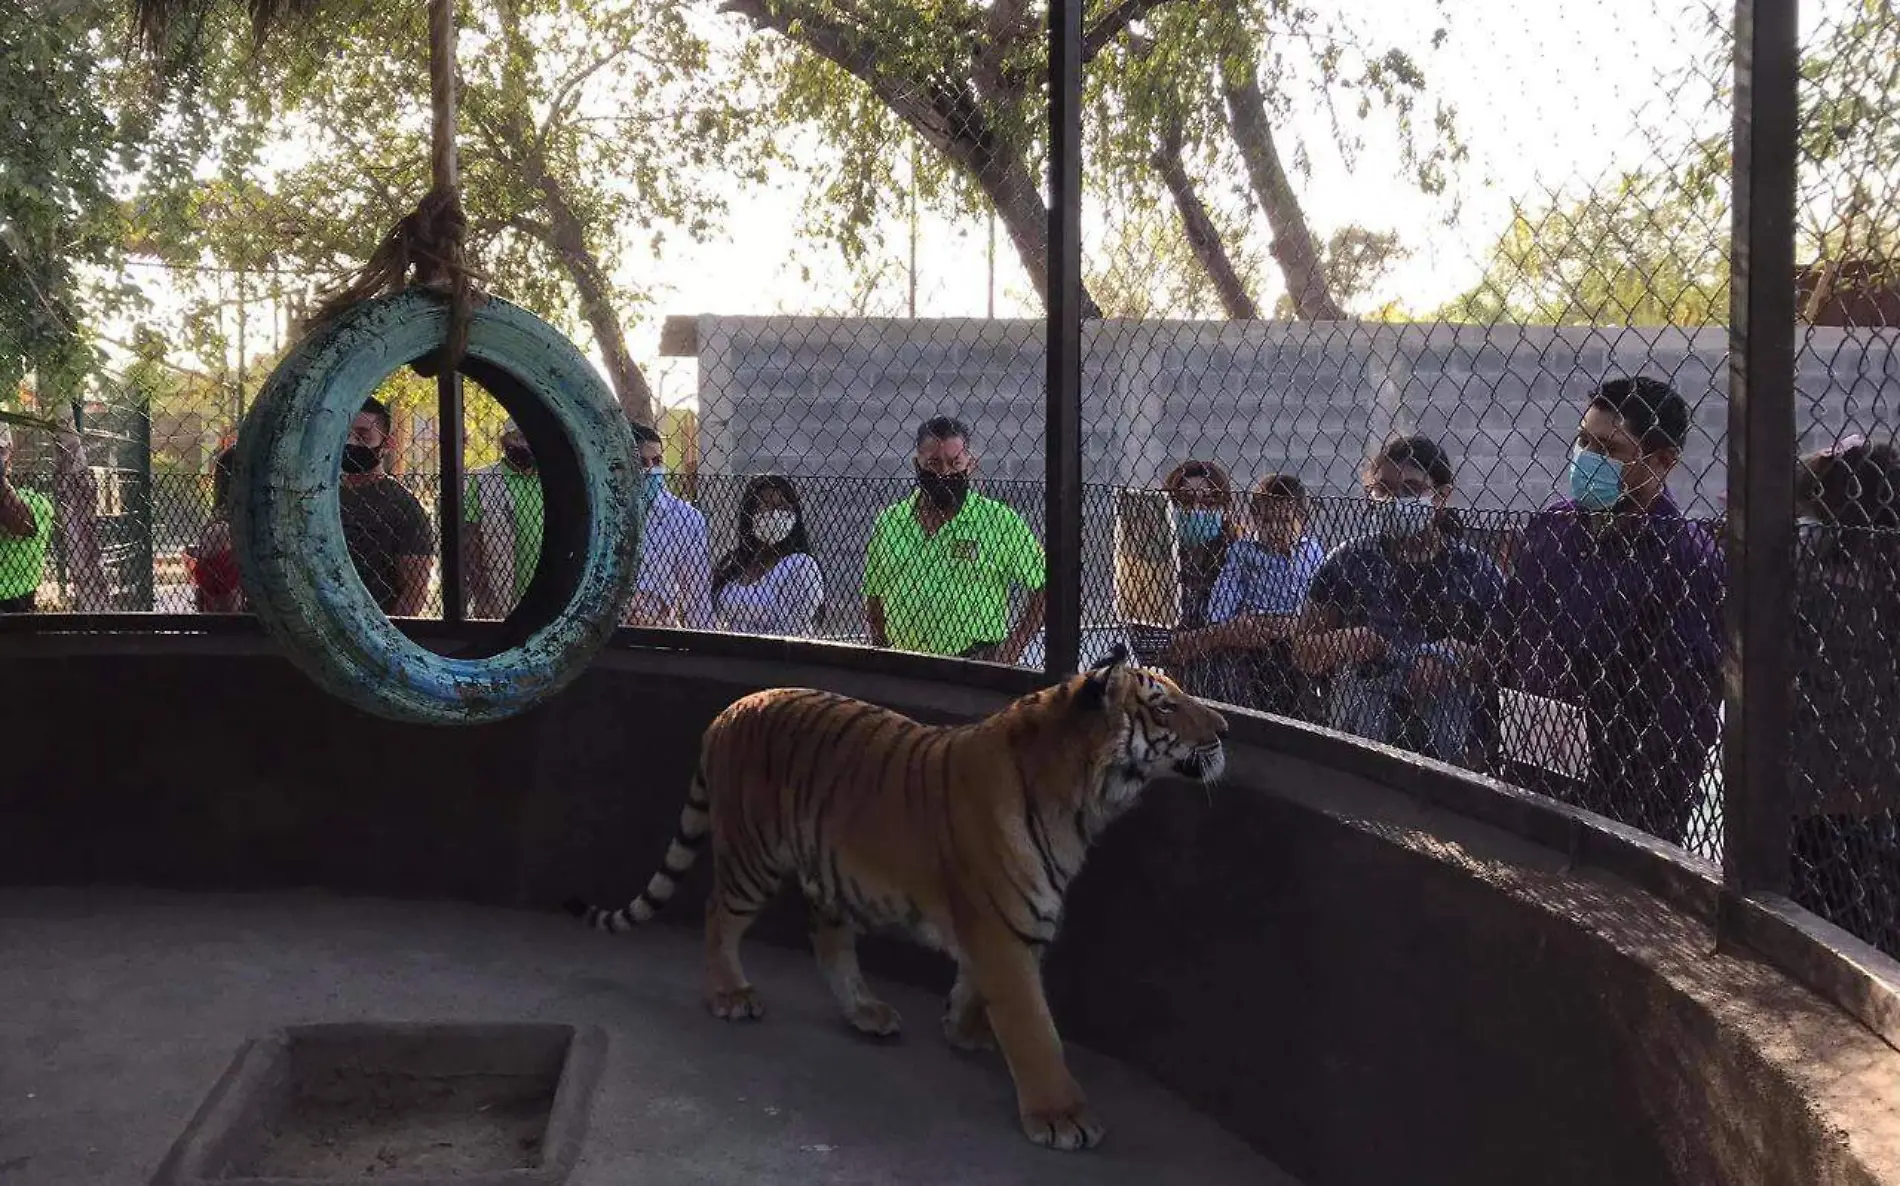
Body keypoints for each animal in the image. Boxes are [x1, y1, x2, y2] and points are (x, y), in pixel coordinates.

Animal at [558, 650, 1231, 1147]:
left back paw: (865, 1011)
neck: (1082, 802)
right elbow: (1035, 1027)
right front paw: (1061, 1116)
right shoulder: (1000, 929)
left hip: (827, 869)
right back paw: (730, 994)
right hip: (753, 856)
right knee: (717, 914)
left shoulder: (1008, 925)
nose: (1226, 729)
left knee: (827, 939)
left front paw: (963, 1028)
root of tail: (732, 707)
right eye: (1166, 705)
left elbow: (979, 990)